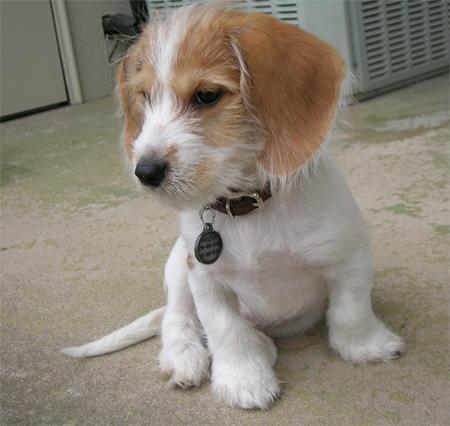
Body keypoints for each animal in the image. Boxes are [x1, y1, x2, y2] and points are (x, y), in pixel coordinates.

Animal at [64, 5, 408, 410]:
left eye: (207, 95)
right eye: (145, 97)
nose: (145, 171)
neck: (249, 206)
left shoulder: (348, 257)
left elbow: (351, 311)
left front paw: (367, 347)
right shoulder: (204, 279)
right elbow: (225, 330)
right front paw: (243, 379)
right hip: (177, 267)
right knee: (176, 319)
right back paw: (185, 357)